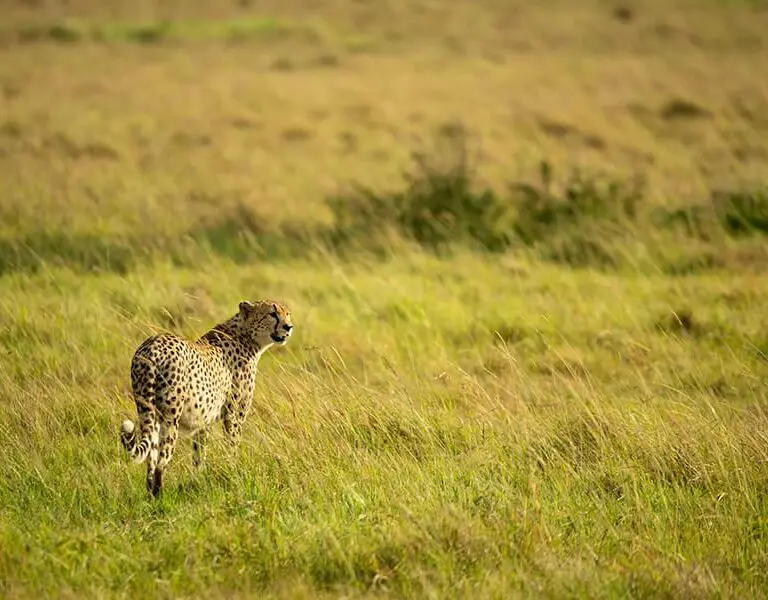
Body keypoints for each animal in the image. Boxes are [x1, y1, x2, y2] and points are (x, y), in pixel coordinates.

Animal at [120, 299, 293, 497]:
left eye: (287, 313)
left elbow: (198, 455)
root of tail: (153, 345)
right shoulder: (234, 416)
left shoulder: (203, 421)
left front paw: (197, 482)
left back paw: (150, 495)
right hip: (170, 418)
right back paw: (160, 498)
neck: (247, 336)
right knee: (161, 463)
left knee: (151, 460)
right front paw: (234, 472)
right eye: (272, 314)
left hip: (147, 412)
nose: (288, 327)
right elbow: (232, 446)